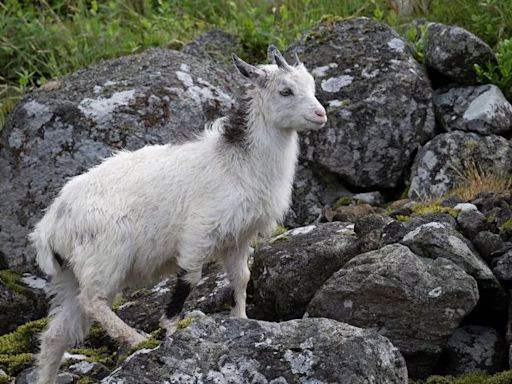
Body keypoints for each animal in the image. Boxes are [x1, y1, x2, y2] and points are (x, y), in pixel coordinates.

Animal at [31, 45, 328, 384]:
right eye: (285, 90)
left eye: (311, 85)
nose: (321, 115)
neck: (238, 162)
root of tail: (49, 226)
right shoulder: (200, 230)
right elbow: (189, 277)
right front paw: (171, 327)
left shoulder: (239, 236)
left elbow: (241, 278)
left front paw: (241, 319)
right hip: (104, 257)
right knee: (93, 302)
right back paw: (137, 339)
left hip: (69, 274)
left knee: (56, 334)